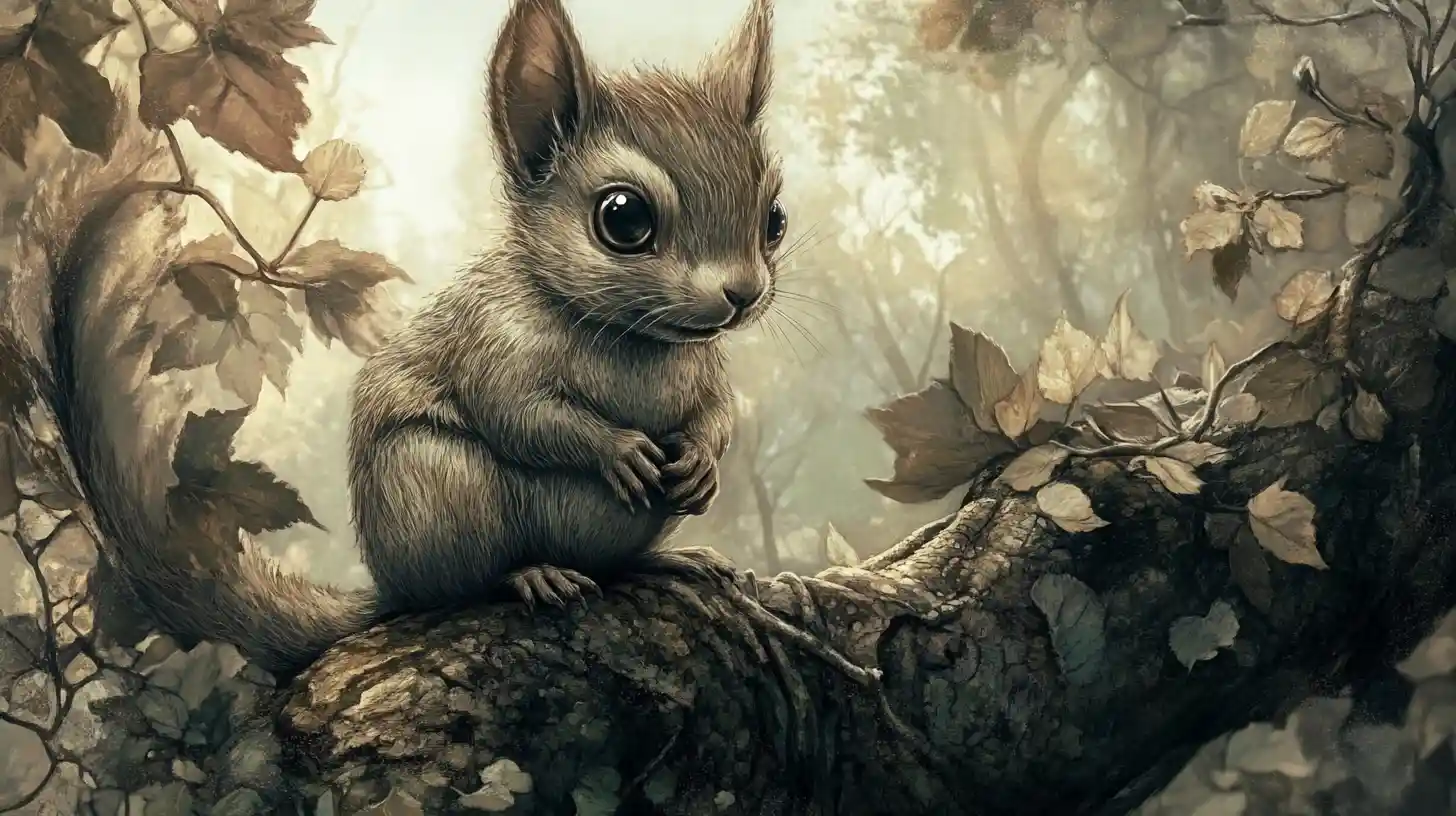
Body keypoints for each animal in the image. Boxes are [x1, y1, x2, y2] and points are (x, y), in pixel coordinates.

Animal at [39, 0, 786, 677]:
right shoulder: (491, 346)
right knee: (460, 582)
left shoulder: (707, 371)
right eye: (624, 217)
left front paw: (701, 460)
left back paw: (672, 558)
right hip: (437, 480)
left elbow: (717, 414)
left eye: (774, 218)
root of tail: (390, 586)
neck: (632, 336)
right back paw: (533, 575)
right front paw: (618, 449)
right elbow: (524, 418)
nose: (743, 293)